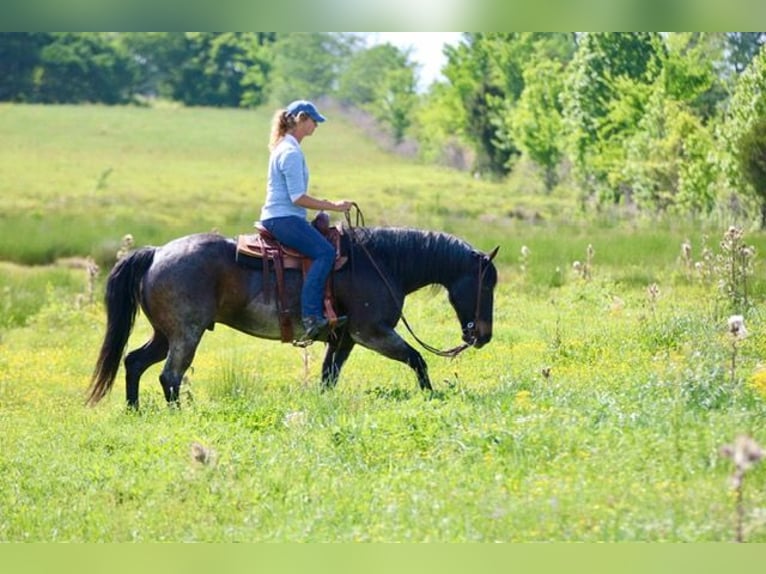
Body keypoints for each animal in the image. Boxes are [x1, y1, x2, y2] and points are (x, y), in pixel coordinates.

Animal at [87, 225, 499, 408]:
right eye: (487, 284)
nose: (482, 335)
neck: (380, 264)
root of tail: (157, 253)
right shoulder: (371, 332)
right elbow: (417, 359)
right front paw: (429, 397)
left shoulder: (344, 338)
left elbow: (328, 376)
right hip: (186, 334)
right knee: (169, 376)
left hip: (164, 333)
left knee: (134, 362)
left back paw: (135, 411)